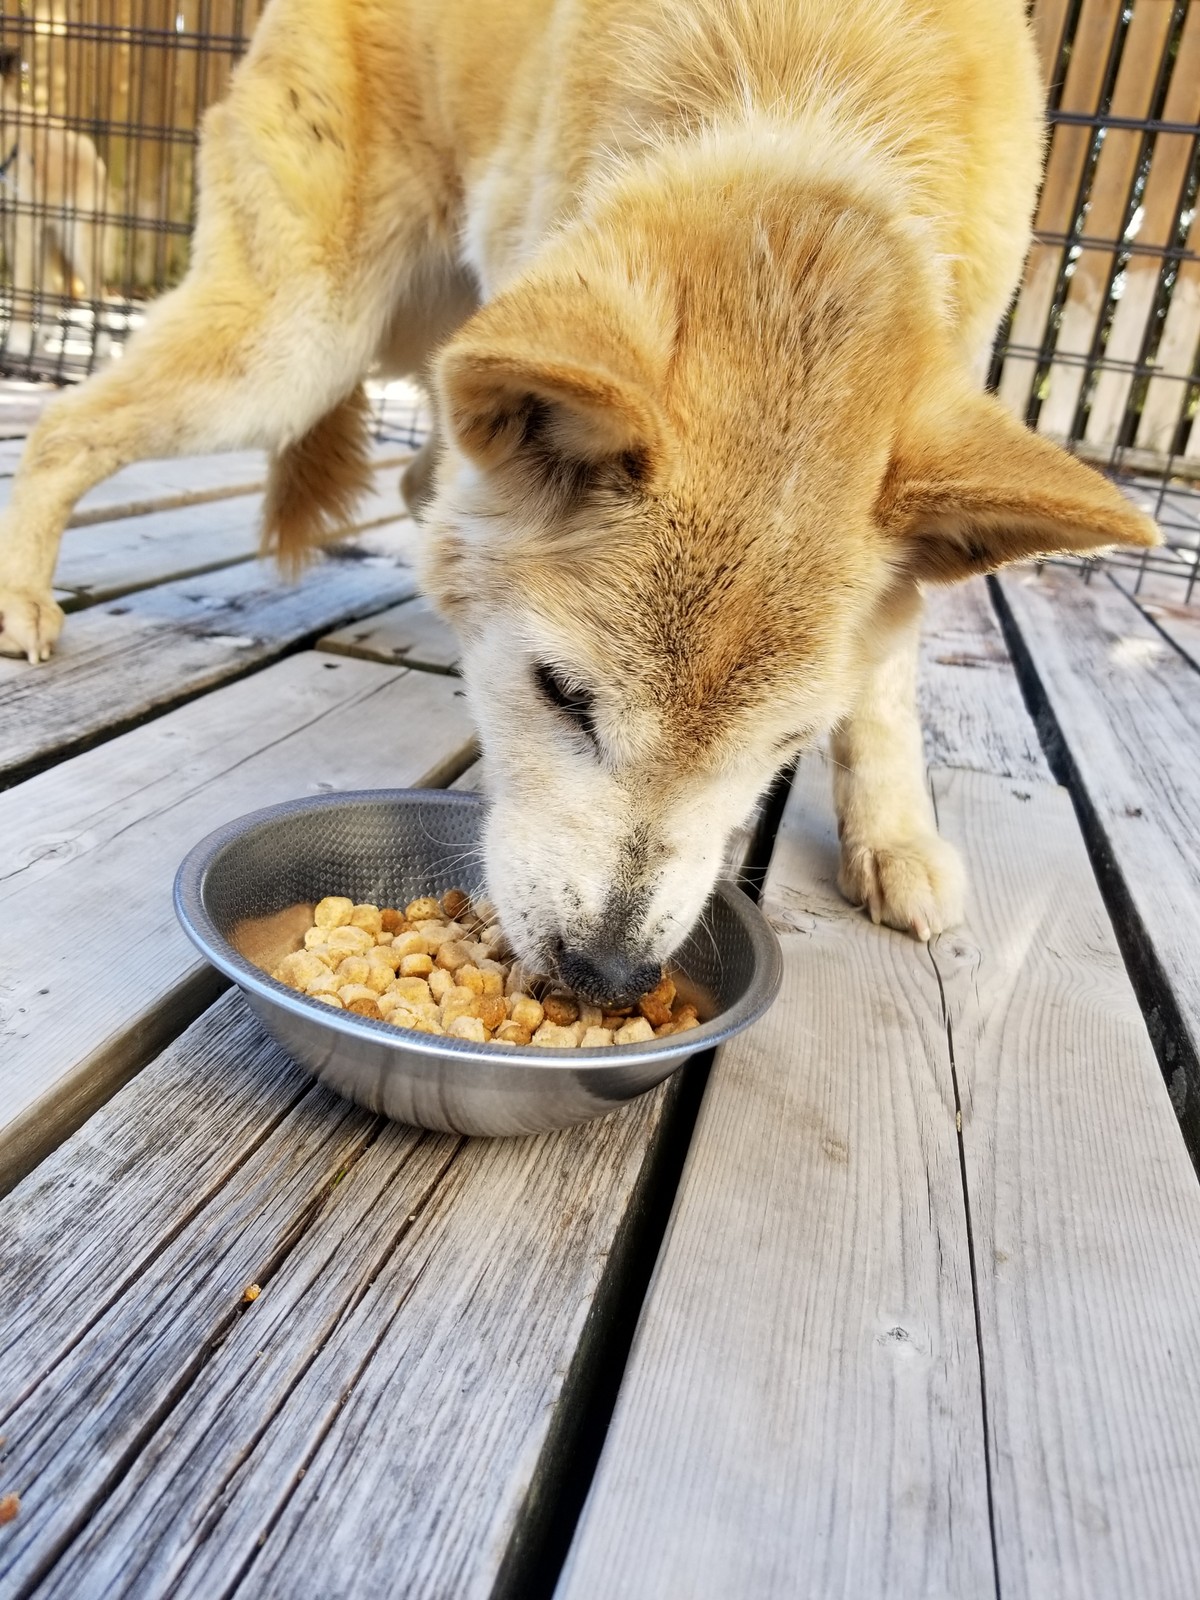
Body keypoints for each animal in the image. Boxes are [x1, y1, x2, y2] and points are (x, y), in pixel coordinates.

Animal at [0, 47, 110, 353]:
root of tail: (91, 152)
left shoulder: (21, 229)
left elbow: (22, 295)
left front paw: (18, 342)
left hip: (79, 243)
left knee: (99, 294)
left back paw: (103, 343)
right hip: (46, 240)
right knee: (52, 289)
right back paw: (46, 333)